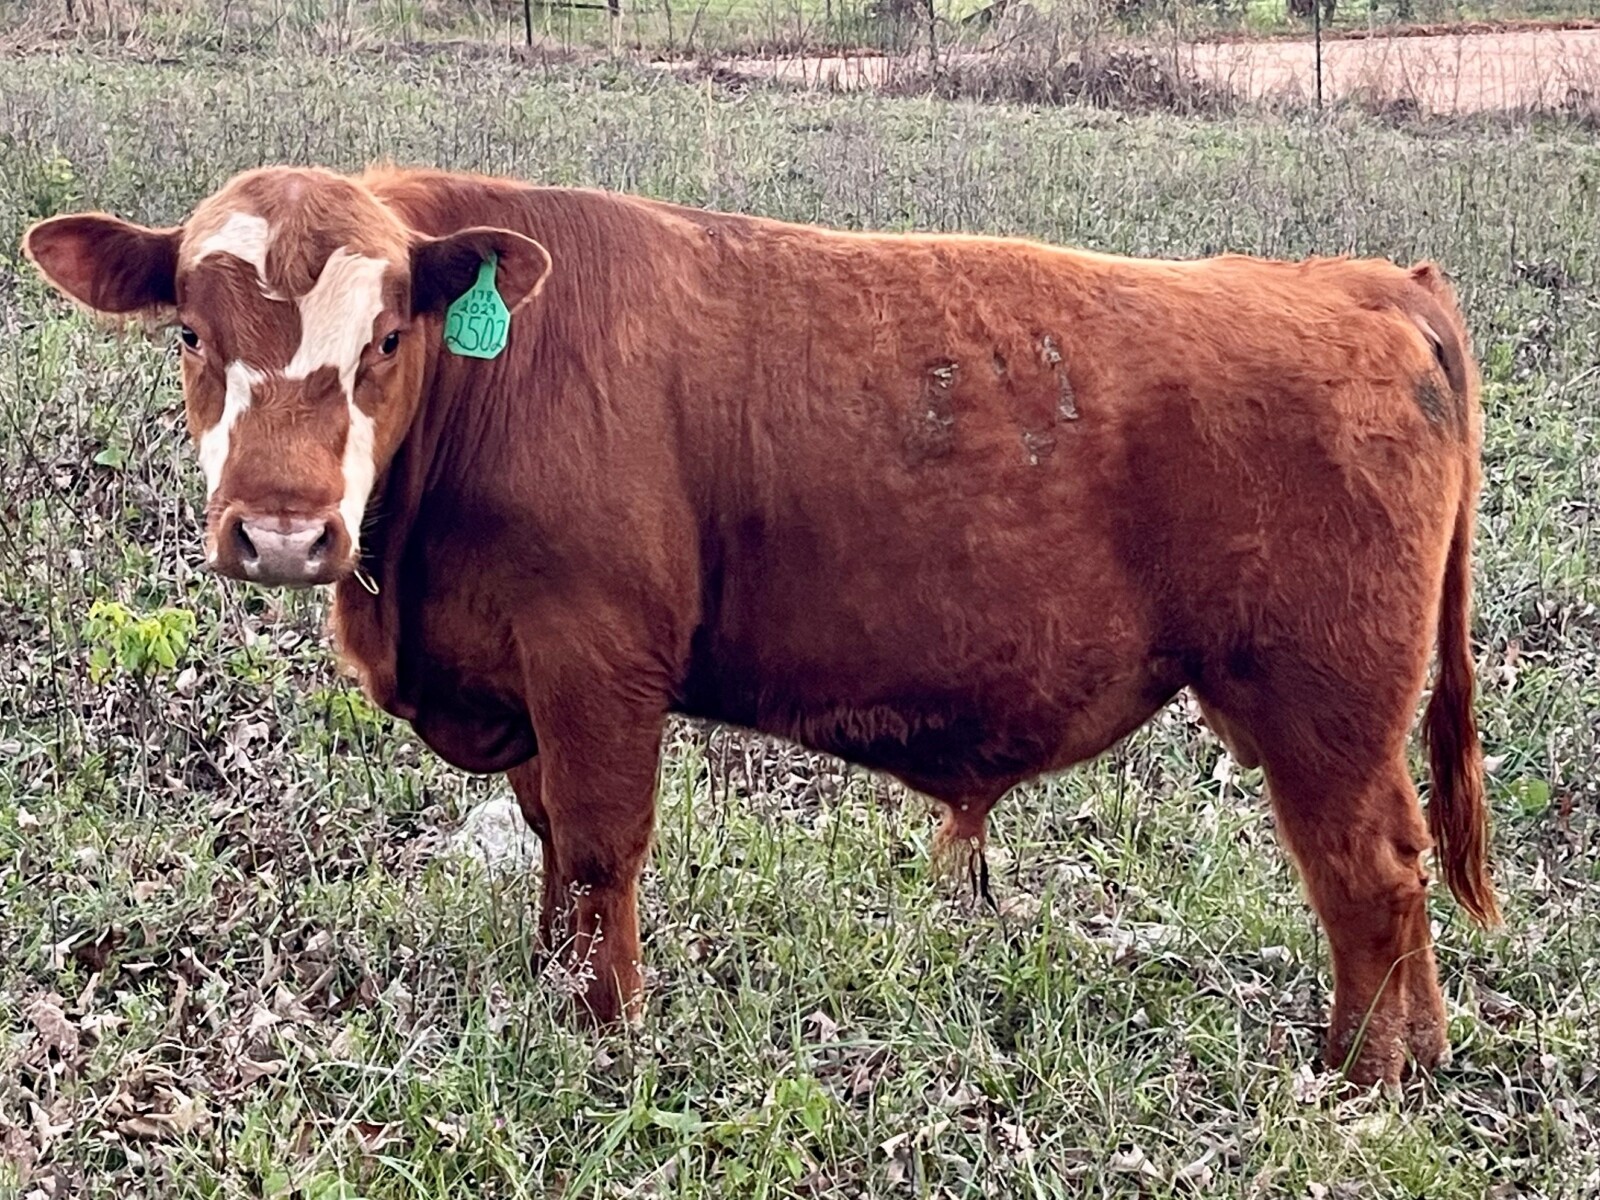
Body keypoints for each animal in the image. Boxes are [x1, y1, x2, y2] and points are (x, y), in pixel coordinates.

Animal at [23, 163, 1499, 1087]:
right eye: (190, 335)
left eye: (386, 340)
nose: (281, 532)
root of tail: (1370, 281)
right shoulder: (527, 686)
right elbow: (552, 848)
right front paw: (554, 995)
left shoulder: (597, 660)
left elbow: (602, 849)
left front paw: (604, 1035)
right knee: (1403, 868)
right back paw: (1419, 1054)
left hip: (1322, 704)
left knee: (1370, 873)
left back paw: (1358, 1076)